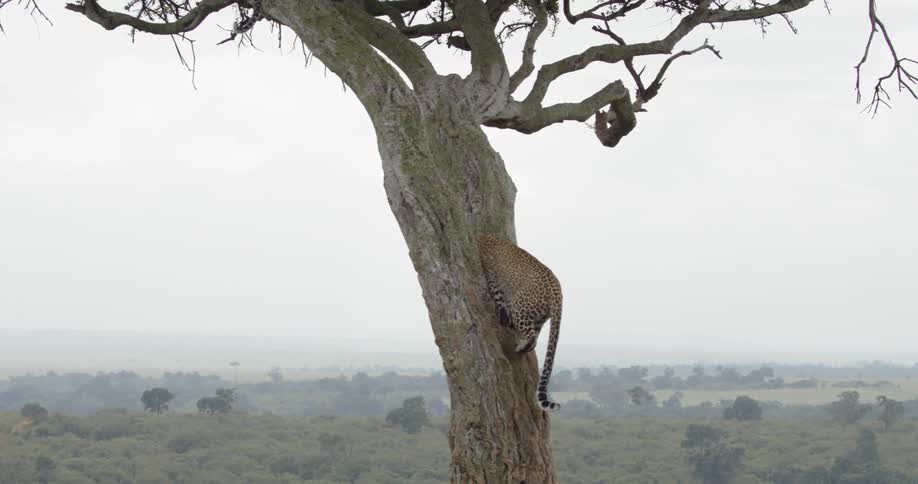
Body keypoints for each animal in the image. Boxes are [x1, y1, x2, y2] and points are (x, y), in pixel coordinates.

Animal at [478, 234, 563, 411]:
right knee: (534, 337)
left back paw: (519, 343)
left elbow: (498, 298)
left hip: (520, 307)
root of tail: (557, 291)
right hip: (539, 317)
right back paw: (522, 345)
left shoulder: (493, 279)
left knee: (531, 335)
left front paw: (502, 315)